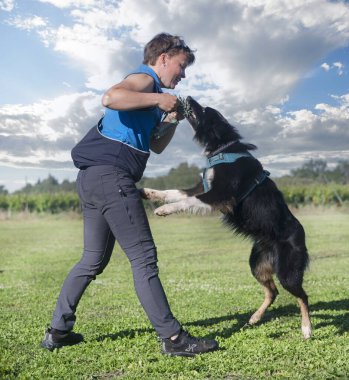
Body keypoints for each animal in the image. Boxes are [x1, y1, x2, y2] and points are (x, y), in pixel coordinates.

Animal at [143, 95, 312, 338]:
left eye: (204, 109)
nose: (189, 97)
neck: (222, 147)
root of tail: (301, 233)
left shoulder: (220, 195)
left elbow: (184, 201)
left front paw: (164, 210)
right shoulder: (201, 187)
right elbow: (174, 192)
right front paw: (150, 193)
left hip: (287, 271)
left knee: (302, 296)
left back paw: (306, 328)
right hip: (256, 264)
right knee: (273, 292)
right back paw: (255, 317)